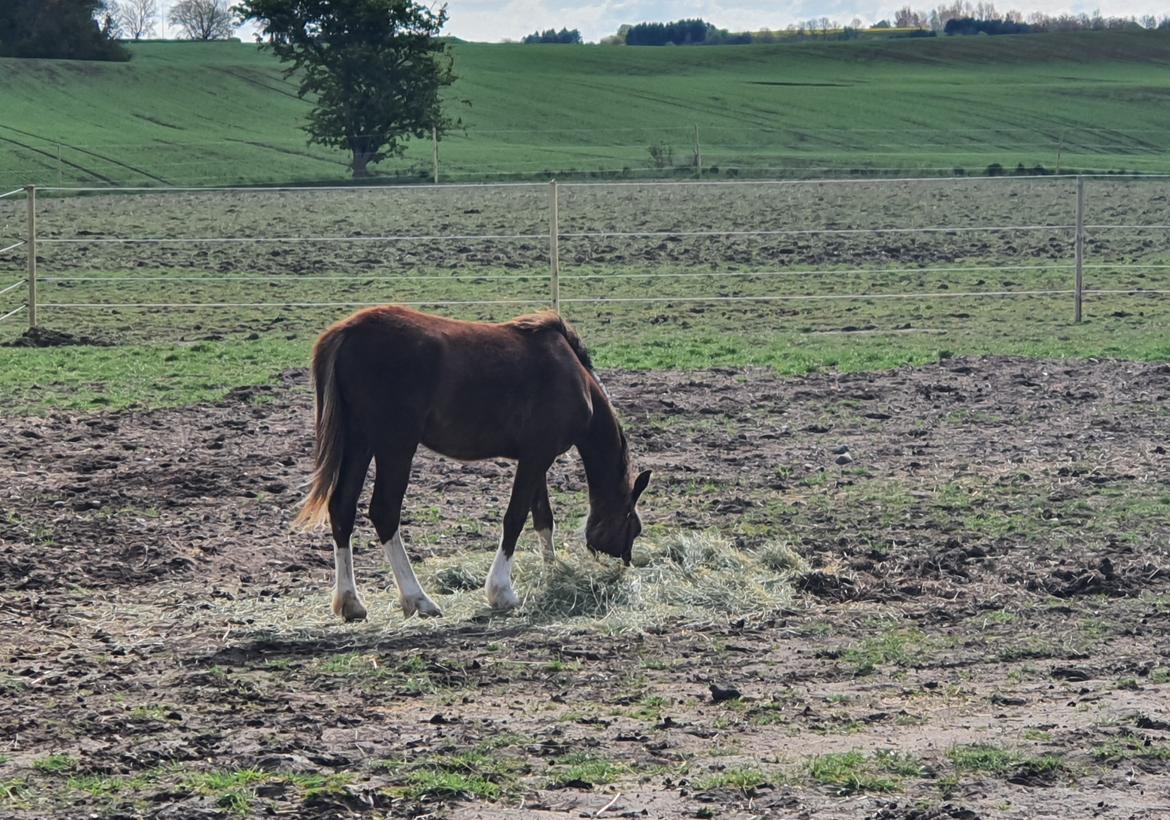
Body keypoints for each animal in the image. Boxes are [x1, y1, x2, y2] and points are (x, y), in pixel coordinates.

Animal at [295, 305, 651, 621]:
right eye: (632, 527)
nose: (624, 566)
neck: (574, 376)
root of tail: (347, 331)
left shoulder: (536, 457)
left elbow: (543, 519)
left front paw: (551, 572)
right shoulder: (537, 457)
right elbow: (515, 518)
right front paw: (502, 592)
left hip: (359, 442)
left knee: (342, 508)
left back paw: (350, 603)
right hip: (395, 446)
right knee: (384, 512)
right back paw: (417, 599)